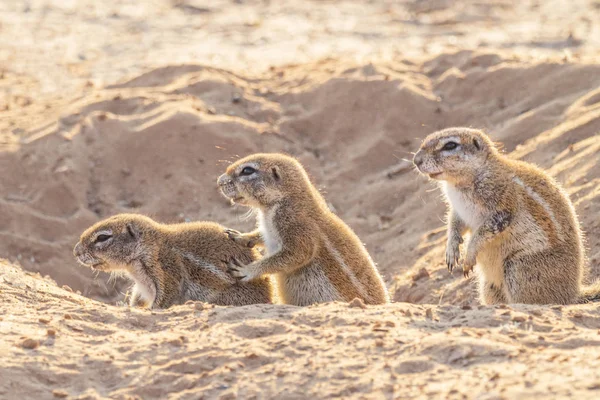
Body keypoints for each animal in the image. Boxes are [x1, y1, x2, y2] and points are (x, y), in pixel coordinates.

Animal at [72, 214, 274, 308]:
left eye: (103, 237)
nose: (76, 251)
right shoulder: (142, 286)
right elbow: (137, 299)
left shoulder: (166, 269)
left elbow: (164, 299)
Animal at [216, 153, 390, 306]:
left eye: (247, 170)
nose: (219, 181)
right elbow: (260, 236)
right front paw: (240, 236)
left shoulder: (296, 225)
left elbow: (296, 254)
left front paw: (246, 270)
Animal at [414, 126, 596, 304]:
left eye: (450, 145)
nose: (416, 160)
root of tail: (573, 293)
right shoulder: (459, 211)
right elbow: (454, 225)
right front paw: (451, 250)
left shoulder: (502, 209)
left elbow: (484, 231)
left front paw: (469, 255)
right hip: (489, 288)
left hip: (518, 270)